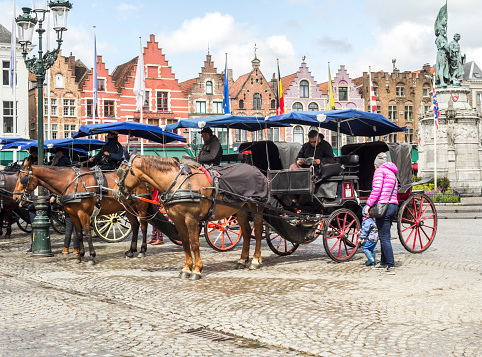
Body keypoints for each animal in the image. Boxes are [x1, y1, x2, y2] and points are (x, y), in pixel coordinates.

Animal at [12, 160, 151, 262]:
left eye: (23, 178)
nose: (15, 197)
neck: (70, 182)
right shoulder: (73, 215)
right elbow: (78, 234)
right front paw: (80, 255)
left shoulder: (83, 214)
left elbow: (87, 233)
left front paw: (92, 256)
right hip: (128, 208)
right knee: (135, 226)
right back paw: (131, 251)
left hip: (141, 207)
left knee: (143, 226)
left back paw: (142, 250)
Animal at [113, 154, 266, 280]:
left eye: (121, 172)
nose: (114, 193)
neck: (176, 183)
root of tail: (258, 171)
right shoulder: (178, 219)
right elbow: (186, 243)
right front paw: (186, 269)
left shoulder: (191, 219)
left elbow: (194, 243)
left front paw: (197, 270)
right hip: (241, 210)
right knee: (246, 233)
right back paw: (242, 260)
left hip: (256, 207)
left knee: (258, 232)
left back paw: (255, 260)